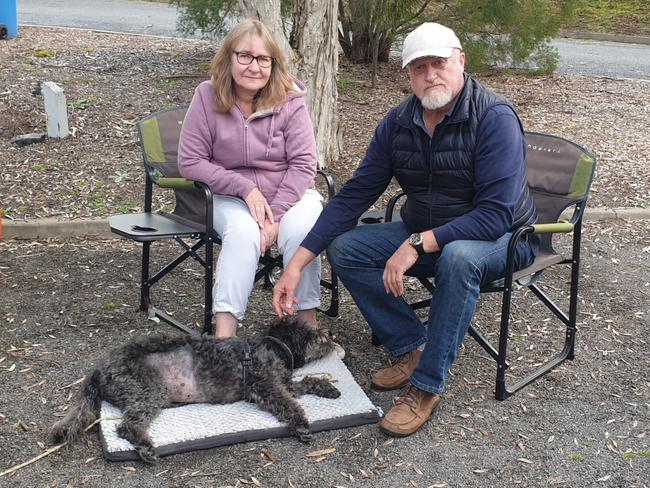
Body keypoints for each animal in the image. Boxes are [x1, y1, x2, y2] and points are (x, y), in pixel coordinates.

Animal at [49, 318, 340, 464]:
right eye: (313, 331)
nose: (330, 330)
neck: (274, 347)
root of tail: (98, 370)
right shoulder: (265, 386)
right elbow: (289, 404)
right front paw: (302, 424)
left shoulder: (283, 382)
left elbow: (306, 382)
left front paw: (328, 388)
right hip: (148, 390)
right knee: (126, 427)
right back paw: (146, 449)